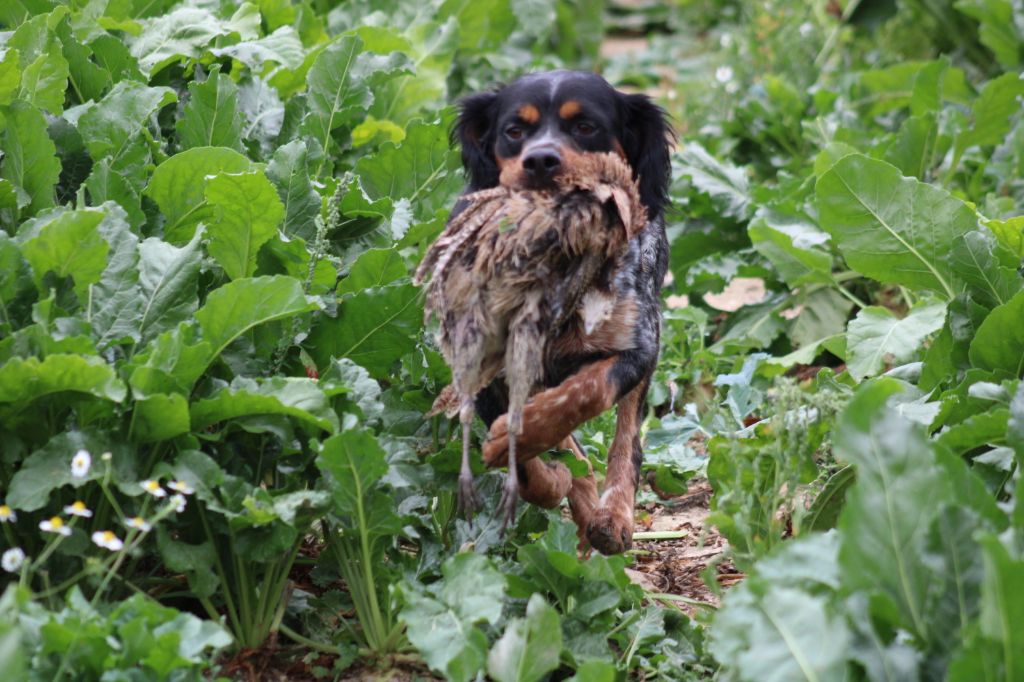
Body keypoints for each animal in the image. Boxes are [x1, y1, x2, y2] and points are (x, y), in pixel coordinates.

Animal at [446, 70, 671, 552]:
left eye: (585, 126)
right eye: (514, 131)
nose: (541, 161)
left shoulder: (638, 346)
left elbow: (586, 393)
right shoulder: (483, 366)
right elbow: (532, 466)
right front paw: (553, 479)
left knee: (626, 435)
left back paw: (612, 516)